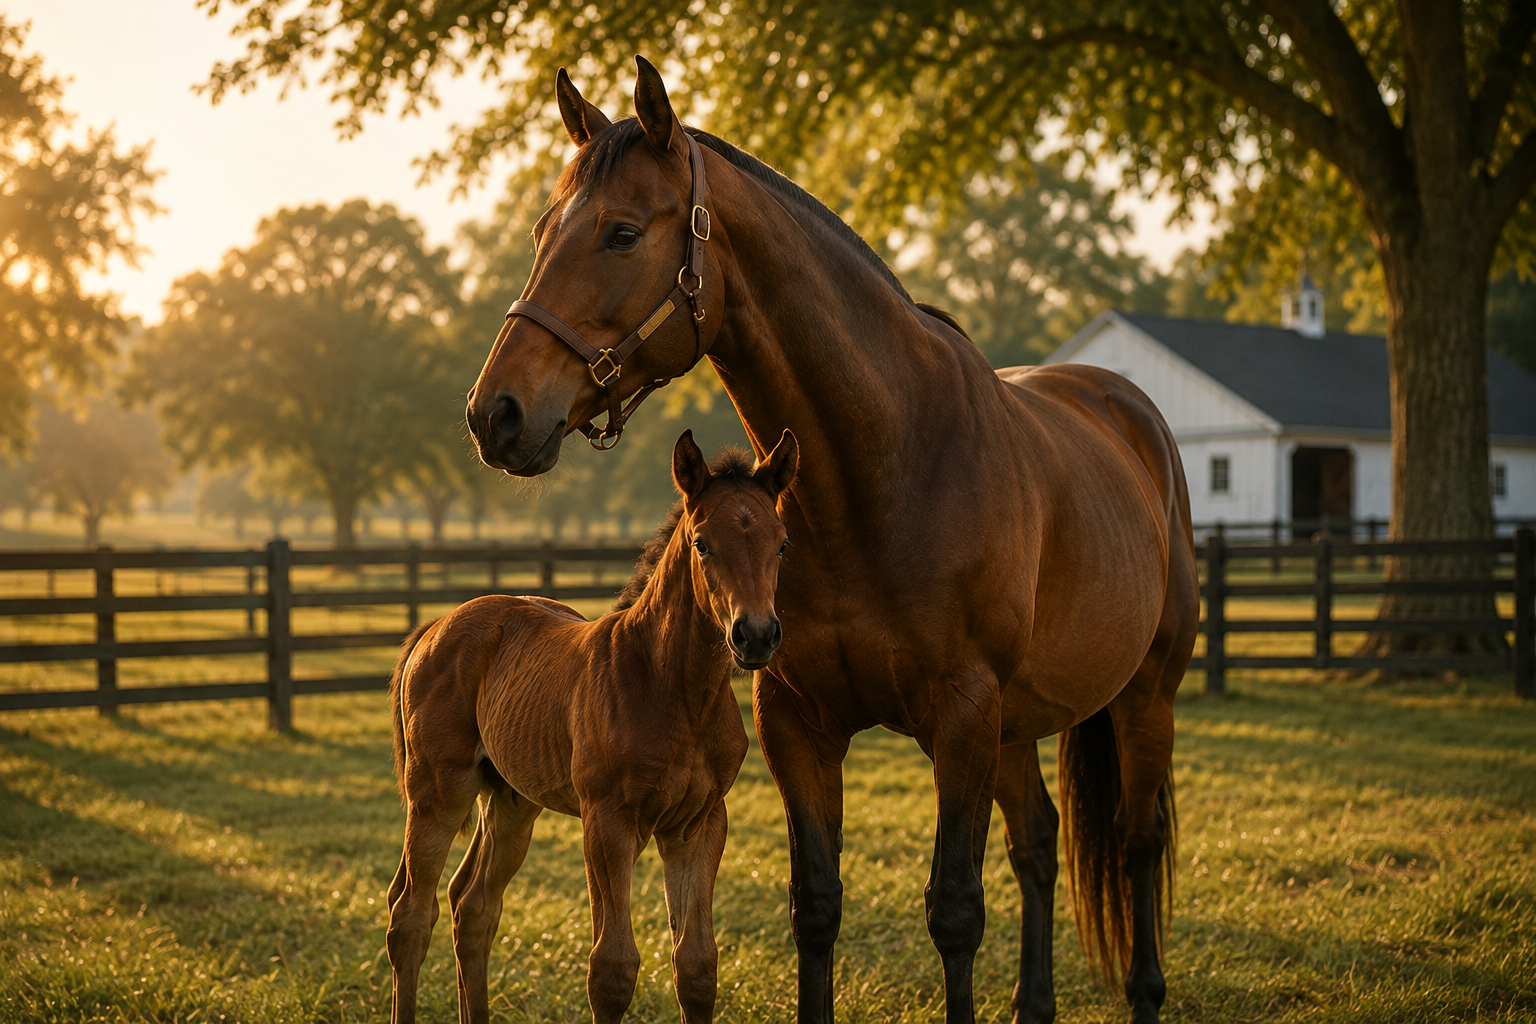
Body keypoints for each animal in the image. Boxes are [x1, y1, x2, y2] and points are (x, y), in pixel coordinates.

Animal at [385, 428, 799, 1024]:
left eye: (782, 543)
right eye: (702, 543)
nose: (757, 635)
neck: (673, 688)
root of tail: (436, 624)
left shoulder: (699, 823)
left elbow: (697, 966)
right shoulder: (607, 821)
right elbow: (612, 970)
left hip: (512, 801)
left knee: (473, 906)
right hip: (437, 794)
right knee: (411, 916)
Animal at [464, 58, 1198, 1024]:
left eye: (621, 233)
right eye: (544, 230)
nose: (495, 413)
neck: (883, 470)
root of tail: (1130, 409)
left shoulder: (963, 714)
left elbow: (955, 911)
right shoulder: (798, 720)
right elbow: (815, 906)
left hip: (1144, 694)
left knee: (1137, 841)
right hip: (1016, 727)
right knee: (1038, 843)